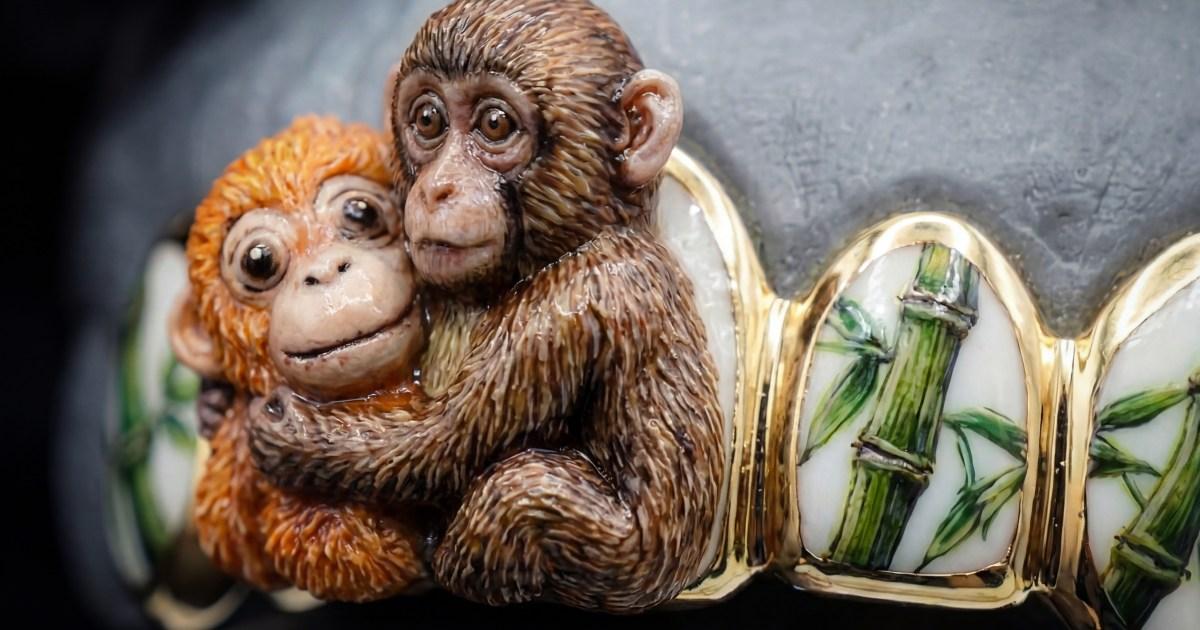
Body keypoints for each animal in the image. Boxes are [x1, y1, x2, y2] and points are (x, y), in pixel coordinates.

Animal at [247, 0, 726, 612]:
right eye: (428, 120)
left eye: (495, 124)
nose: (438, 189)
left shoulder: (570, 303)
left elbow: (440, 445)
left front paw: (293, 431)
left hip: (621, 563)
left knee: (517, 491)